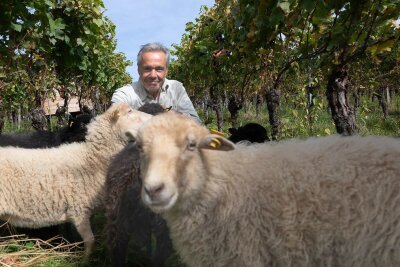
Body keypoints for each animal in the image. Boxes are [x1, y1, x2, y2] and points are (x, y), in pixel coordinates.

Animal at [0, 103, 152, 258]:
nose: (153, 118)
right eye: (129, 111)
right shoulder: (79, 209)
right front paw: (83, 258)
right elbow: (90, 240)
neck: (93, 159)